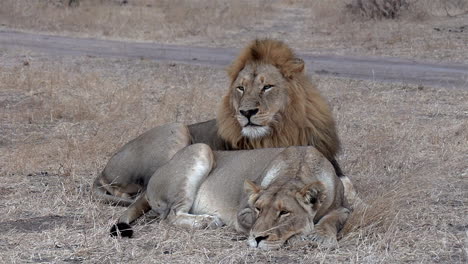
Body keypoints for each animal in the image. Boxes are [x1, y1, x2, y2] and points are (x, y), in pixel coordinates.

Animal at [94, 38, 344, 205]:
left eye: (267, 87)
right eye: (241, 88)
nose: (247, 112)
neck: (281, 131)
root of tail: (104, 170)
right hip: (176, 129)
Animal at [109, 144, 352, 250]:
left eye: (284, 212)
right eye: (258, 209)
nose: (258, 240)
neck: (298, 169)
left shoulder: (343, 207)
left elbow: (332, 219)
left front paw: (321, 236)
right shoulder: (242, 214)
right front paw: (302, 235)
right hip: (201, 149)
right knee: (170, 215)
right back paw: (208, 221)